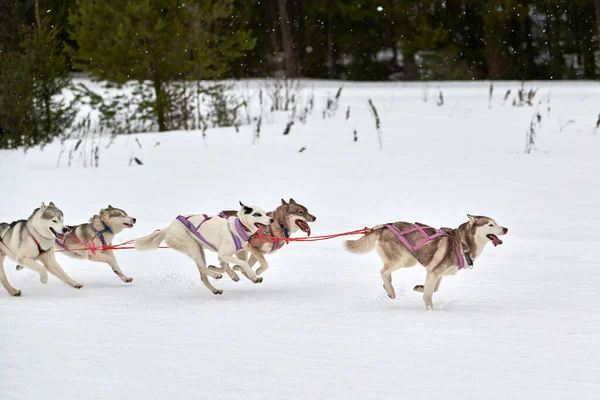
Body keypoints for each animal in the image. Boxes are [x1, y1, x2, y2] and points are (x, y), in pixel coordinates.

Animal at [135, 203, 274, 294]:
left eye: (264, 213)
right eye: (257, 214)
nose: (272, 219)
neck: (239, 227)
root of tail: (169, 227)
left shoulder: (229, 254)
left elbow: (228, 266)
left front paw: (236, 274)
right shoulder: (224, 254)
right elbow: (243, 264)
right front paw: (253, 276)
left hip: (199, 250)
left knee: (203, 276)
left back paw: (215, 288)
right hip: (193, 246)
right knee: (202, 267)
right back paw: (215, 275)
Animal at [344, 216, 508, 310]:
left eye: (497, 223)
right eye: (490, 225)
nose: (506, 228)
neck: (462, 244)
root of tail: (384, 226)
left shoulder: (436, 273)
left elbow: (434, 289)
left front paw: (419, 288)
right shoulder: (434, 272)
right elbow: (429, 295)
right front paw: (431, 312)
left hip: (408, 260)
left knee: (386, 272)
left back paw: (388, 287)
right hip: (401, 260)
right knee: (383, 271)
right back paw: (390, 290)